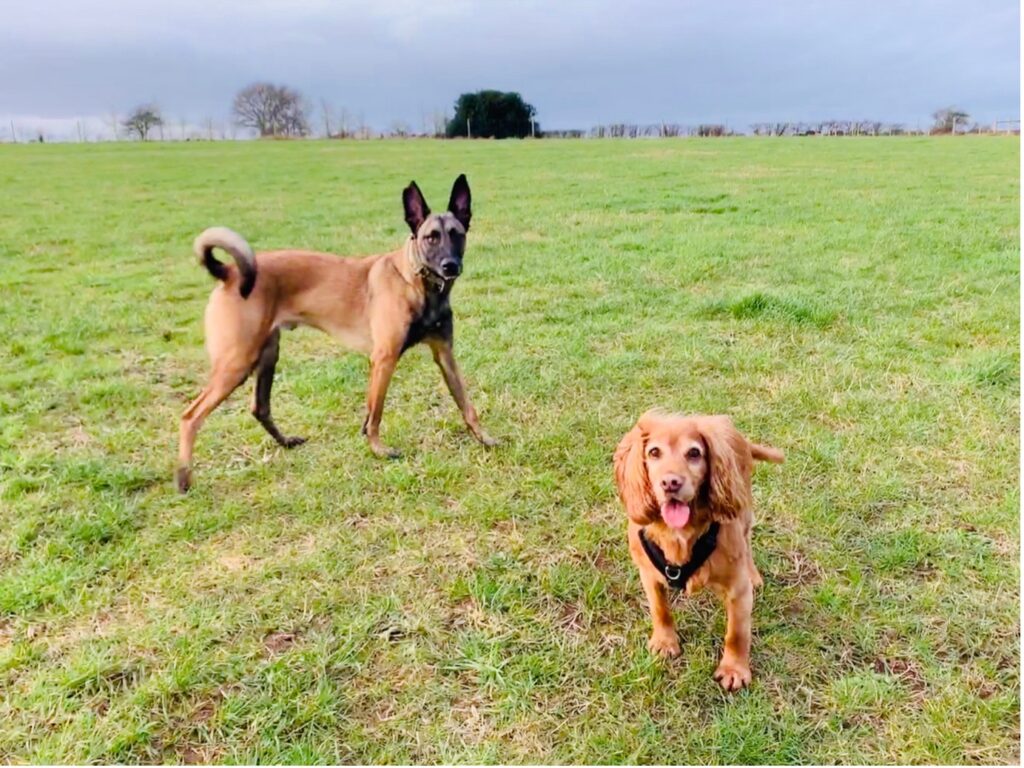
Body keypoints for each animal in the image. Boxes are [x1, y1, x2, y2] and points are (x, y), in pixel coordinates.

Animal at [176, 175, 495, 493]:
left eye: (457, 234)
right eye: (431, 237)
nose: (450, 265)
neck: (414, 281)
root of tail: (230, 272)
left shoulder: (444, 354)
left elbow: (466, 403)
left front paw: (484, 438)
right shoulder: (384, 359)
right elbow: (376, 412)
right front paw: (379, 450)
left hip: (266, 355)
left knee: (259, 407)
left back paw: (286, 442)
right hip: (237, 362)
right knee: (190, 416)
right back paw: (183, 478)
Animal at [614, 411, 782, 696]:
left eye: (694, 453)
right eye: (654, 452)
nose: (671, 482)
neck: (679, 534)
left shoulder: (738, 588)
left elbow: (736, 633)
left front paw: (734, 670)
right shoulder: (648, 573)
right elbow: (660, 609)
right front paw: (665, 642)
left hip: (744, 509)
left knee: (748, 539)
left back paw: (754, 574)